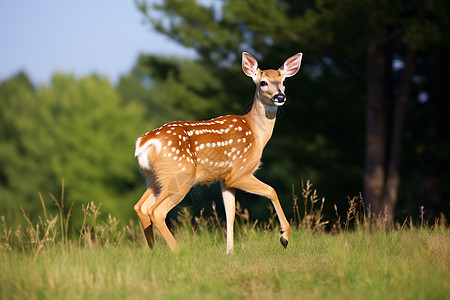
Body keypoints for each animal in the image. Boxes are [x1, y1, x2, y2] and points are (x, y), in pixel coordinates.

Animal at [134, 51, 302, 253]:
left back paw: (152, 252)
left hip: (154, 178)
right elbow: (271, 190)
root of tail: (144, 143)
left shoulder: (225, 179)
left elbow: (230, 214)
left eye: (283, 81)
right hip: (180, 175)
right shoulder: (239, 172)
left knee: (141, 207)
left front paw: (230, 252)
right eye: (263, 82)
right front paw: (284, 237)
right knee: (156, 211)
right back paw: (179, 251)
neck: (257, 134)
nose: (280, 96)